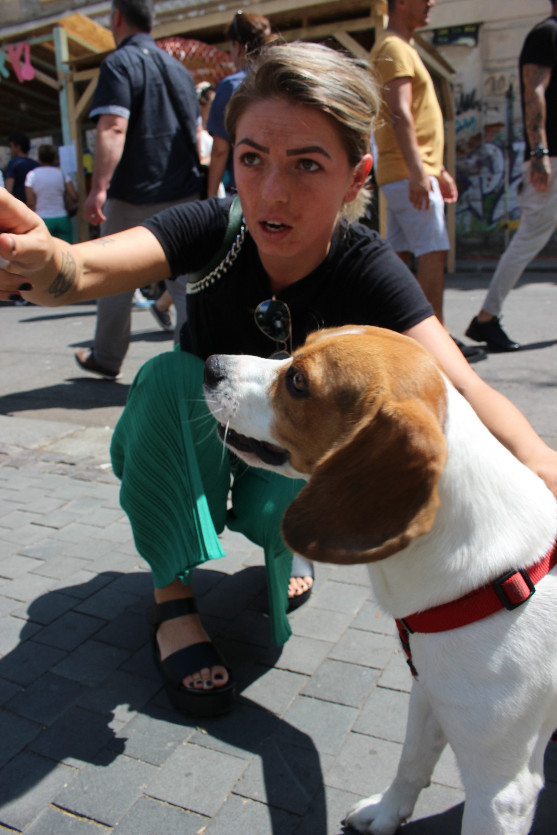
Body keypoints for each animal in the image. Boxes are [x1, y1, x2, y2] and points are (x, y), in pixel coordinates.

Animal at [203, 326, 556, 835]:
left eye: (297, 381)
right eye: (300, 343)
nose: (210, 365)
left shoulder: (502, 791)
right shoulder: (428, 692)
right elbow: (410, 764)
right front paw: (387, 814)